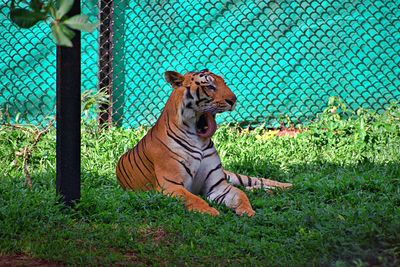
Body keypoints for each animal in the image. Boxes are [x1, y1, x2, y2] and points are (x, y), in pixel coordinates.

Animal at [115, 69, 290, 218]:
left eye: (223, 82)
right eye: (210, 86)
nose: (233, 100)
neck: (197, 137)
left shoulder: (218, 185)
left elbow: (240, 195)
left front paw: (248, 211)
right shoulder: (171, 185)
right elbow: (193, 198)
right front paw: (211, 211)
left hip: (230, 175)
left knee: (255, 180)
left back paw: (285, 185)